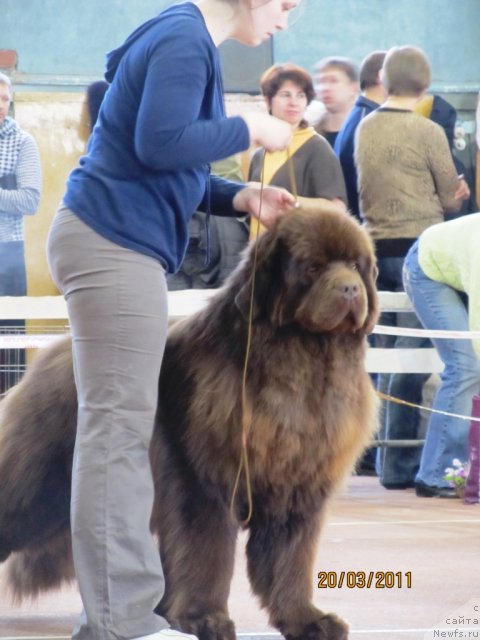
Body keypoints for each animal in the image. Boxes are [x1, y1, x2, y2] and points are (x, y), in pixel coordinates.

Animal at [0, 210, 378, 640]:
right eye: (313, 267)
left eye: (356, 265)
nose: (350, 289)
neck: (300, 361)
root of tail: (49, 354)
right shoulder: (202, 481)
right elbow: (205, 553)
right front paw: (204, 618)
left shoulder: (297, 490)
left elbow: (290, 560)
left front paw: (307, 620)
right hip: (36, 489)